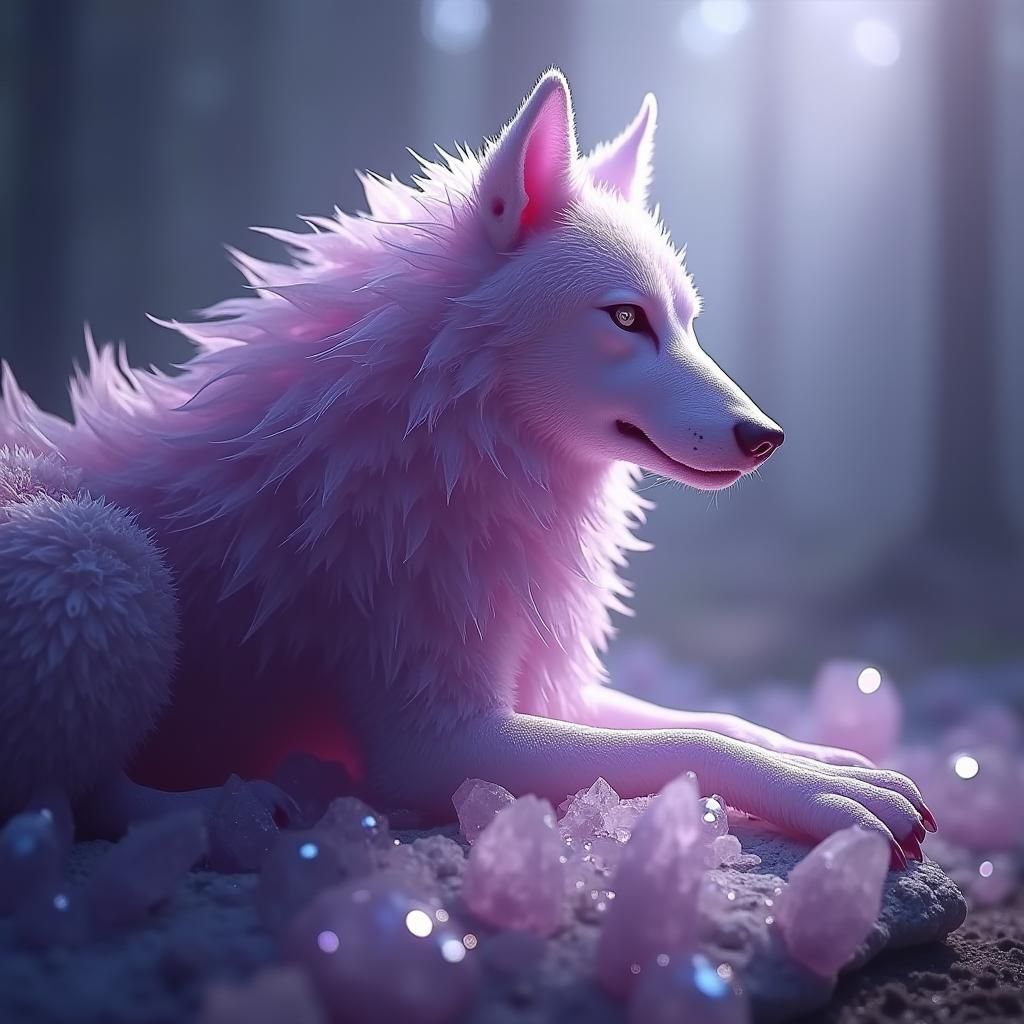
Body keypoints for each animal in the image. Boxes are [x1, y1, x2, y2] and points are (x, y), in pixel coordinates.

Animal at [0, 71, 930, 863]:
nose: (765, 436)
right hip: (100, 554)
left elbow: (719, 721)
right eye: (627, 319)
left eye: (688, 322)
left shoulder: (539, 687)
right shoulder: (434, 745)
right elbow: (688, 738)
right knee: (69, 801)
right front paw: (828, 794)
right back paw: (222, 810)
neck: (431, 437)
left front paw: (829, 759)